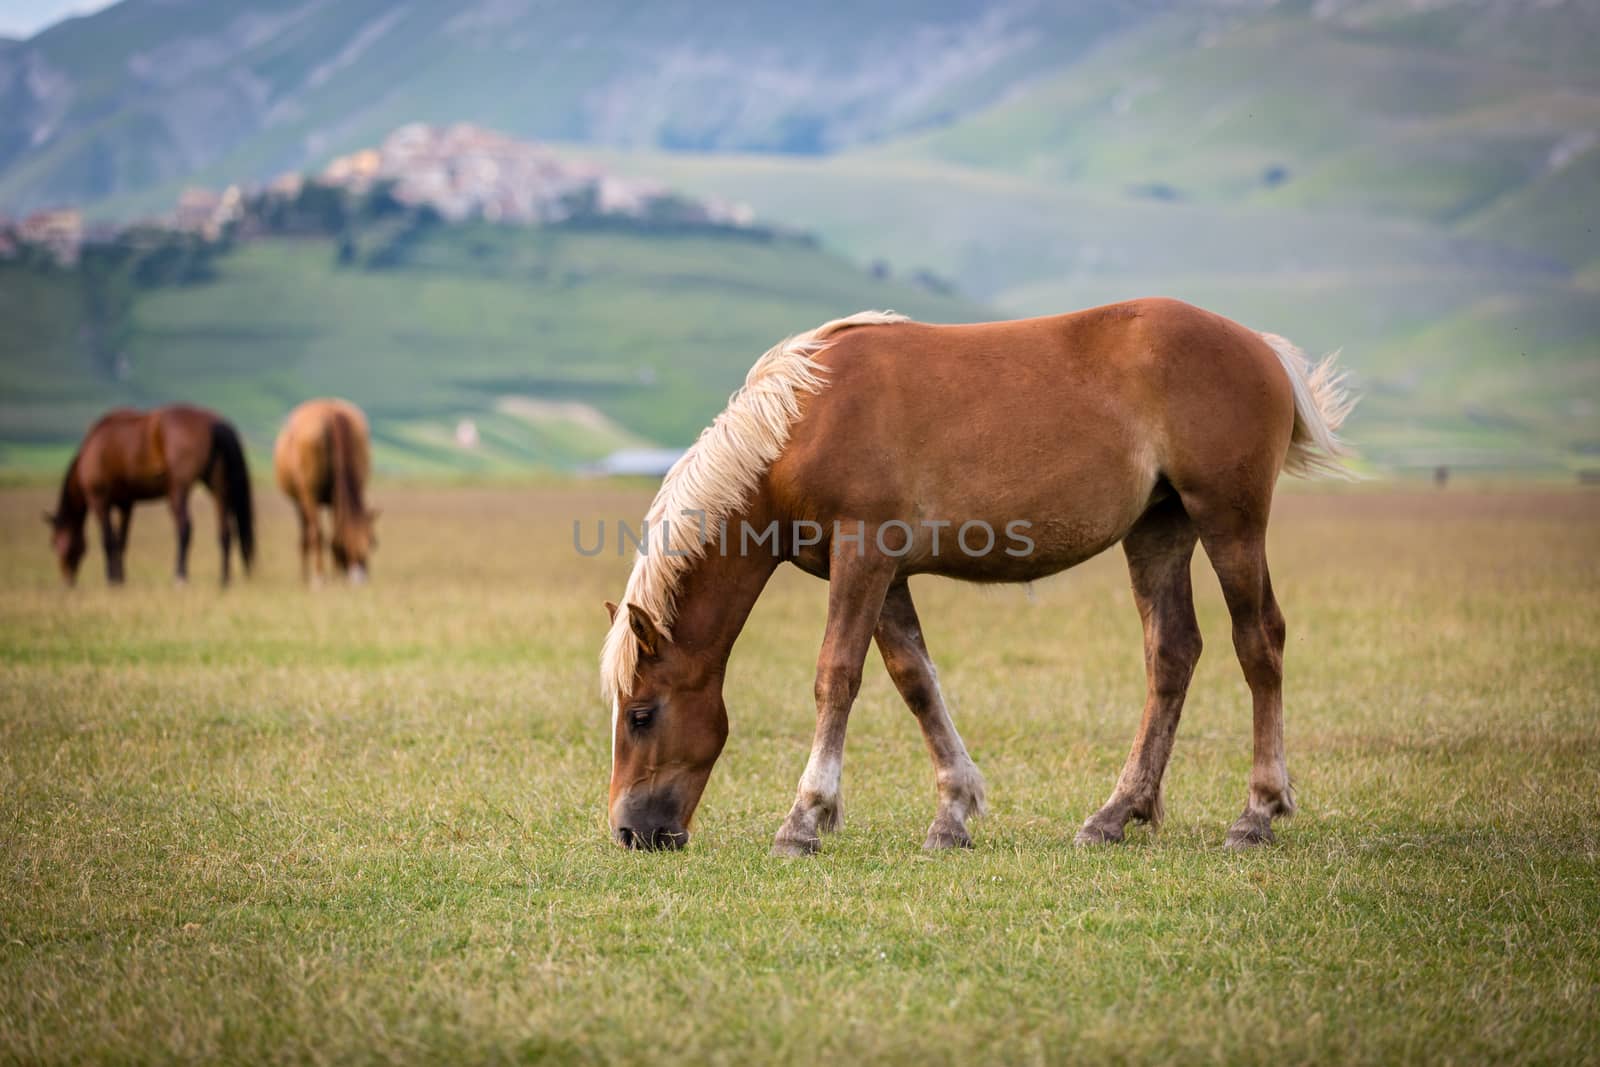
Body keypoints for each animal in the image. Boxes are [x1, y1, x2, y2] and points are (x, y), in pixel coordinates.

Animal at [48, 406, 256, 588]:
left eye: (56, 543)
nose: (67, 582)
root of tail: (215, 423)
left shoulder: (99, 498)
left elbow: (108, 539)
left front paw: (111, 579)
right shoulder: (126, 503)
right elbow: (121, 541)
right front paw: (120, 578)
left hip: (178, 487)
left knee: (185, 527)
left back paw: (180, 577)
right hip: (218, 483)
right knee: (225, 531)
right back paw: (224, 580)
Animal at [275, 398, 377, 585]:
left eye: (372, 543)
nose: (359, 579)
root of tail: (332, 414)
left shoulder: (329, 499)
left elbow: (332, 535)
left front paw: (333, 575)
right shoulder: (309, 497)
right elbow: (325, 535)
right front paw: (321, 577)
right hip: (305, 498)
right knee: (311, 534)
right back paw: (313, 575)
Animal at [604, 295, 1356, 857]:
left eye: (641, 715)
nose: (630, 832)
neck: (801, 419)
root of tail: (1262, 348)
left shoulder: (863, 554)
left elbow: (836, 676)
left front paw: (806, 817)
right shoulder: (883, 574)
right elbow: (915, 681)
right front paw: (953, 813)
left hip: (1228, 520)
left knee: (1259, 641)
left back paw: (1257, 812)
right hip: (1159, 529)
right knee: (1172, 653)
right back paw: (1117, 812)